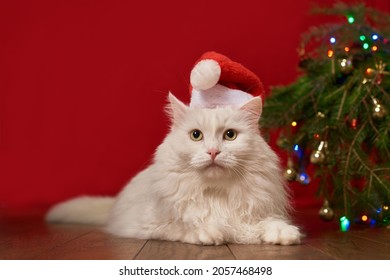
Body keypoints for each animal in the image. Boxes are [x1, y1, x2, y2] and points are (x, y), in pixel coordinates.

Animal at [46, 93, 302, 245]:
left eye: (230, 135)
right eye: (196, 135)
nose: (213, 152)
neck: (215, 194)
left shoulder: (256, 212)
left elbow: (270, 223)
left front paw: (286, 234)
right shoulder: (150, 224)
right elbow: (183, 226)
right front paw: (211, 233)